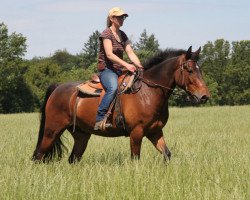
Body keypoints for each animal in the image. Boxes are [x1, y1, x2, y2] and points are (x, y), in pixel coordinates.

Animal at [32, 46, 210, 163]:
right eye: (189, 70)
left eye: (200, 70)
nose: (204, 96)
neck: (148, 92)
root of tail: (57, 88)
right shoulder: (136, 133)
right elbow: (135, 159)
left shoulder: (155, 131)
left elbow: (167, 154)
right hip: (52, 131)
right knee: (39, 156)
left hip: (81, 135)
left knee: (73, 159)